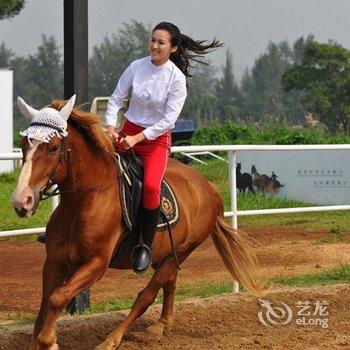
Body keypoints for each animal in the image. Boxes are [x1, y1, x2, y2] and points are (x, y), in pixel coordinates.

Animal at [12, 98, 262, 350]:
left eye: (53, 148)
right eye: (24, 145)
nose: (21, 200)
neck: (84, 202)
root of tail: (207, 186)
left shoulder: (96, 265)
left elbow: (58, 298)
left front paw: (49, 341)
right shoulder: (54, 263)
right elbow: (45, 306)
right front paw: (39, 340)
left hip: (182, 250)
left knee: (147, 294)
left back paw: (112, 340)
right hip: (165, 254)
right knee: (169, 283)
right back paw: (161, 325)